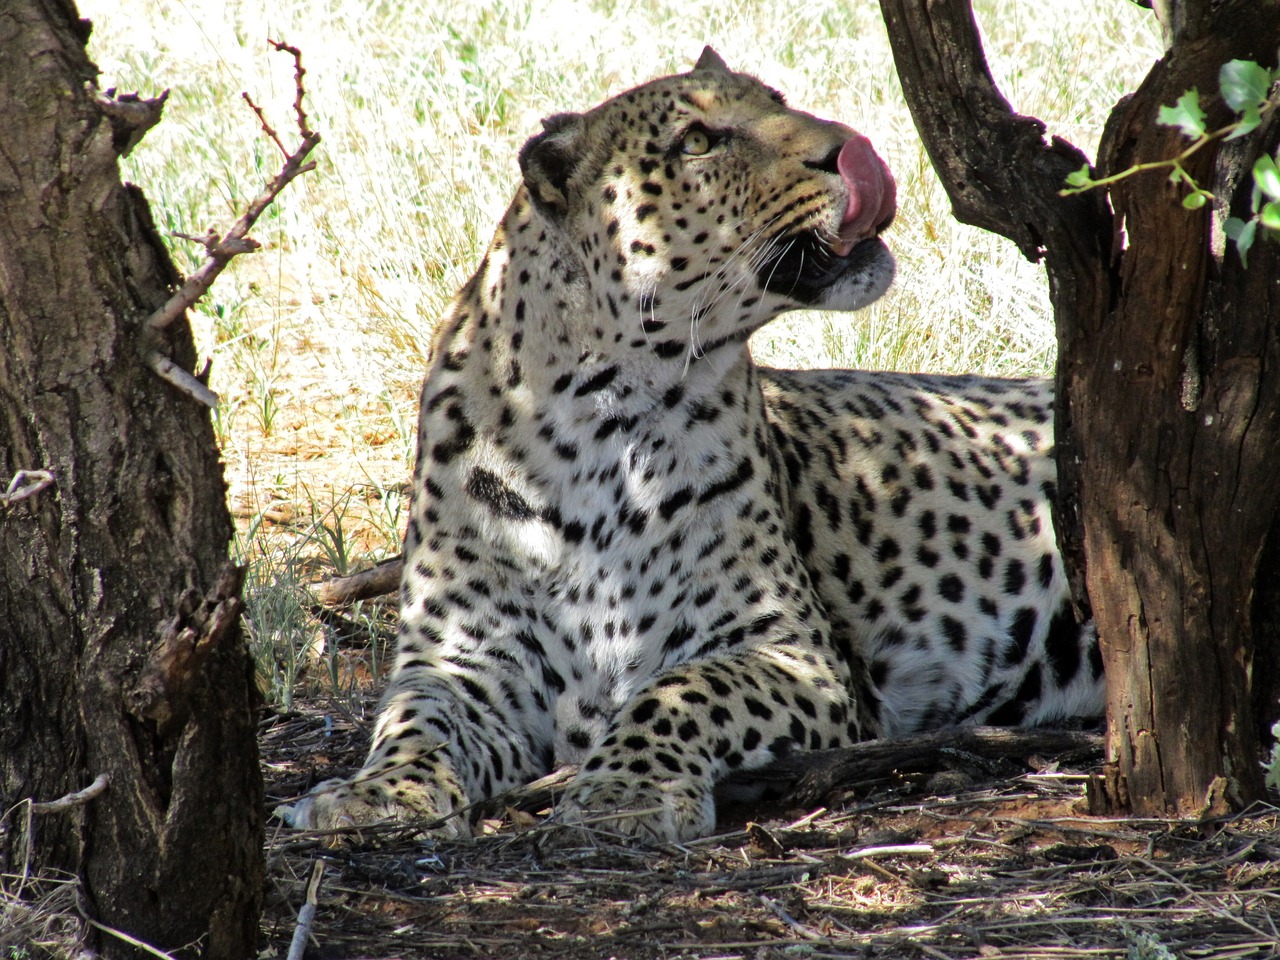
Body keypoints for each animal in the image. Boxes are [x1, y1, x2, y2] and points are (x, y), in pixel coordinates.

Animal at [285, 47, 1105, 839]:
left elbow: (679, 691)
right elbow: (415, 721)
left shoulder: (790, 648)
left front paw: (625, 792)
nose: (852, 148)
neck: (598, 417)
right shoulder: (460, 659)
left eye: (776, 101)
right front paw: (375, 794)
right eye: (697, 142)